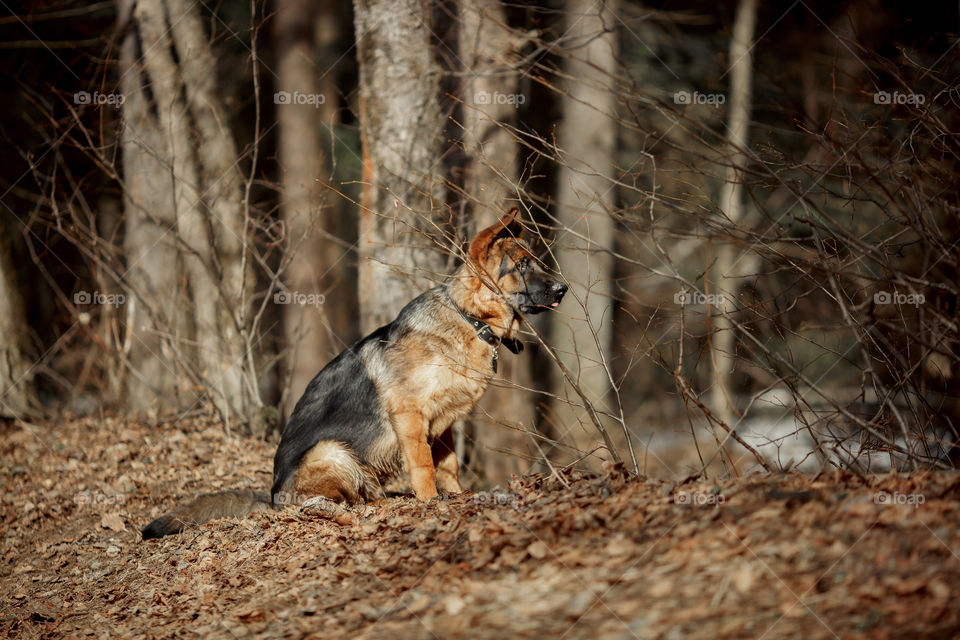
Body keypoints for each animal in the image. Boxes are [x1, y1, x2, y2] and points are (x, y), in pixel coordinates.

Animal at [141, 208, 564, 536]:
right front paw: (430, 503)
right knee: (330, 500)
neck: (468, 318)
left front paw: (457, 496)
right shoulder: (410, 416)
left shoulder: (442, 422)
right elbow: (423, 466)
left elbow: (447, 465)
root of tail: (272, 497)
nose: (563, 288)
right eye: (522, 265)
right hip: (332, 452)